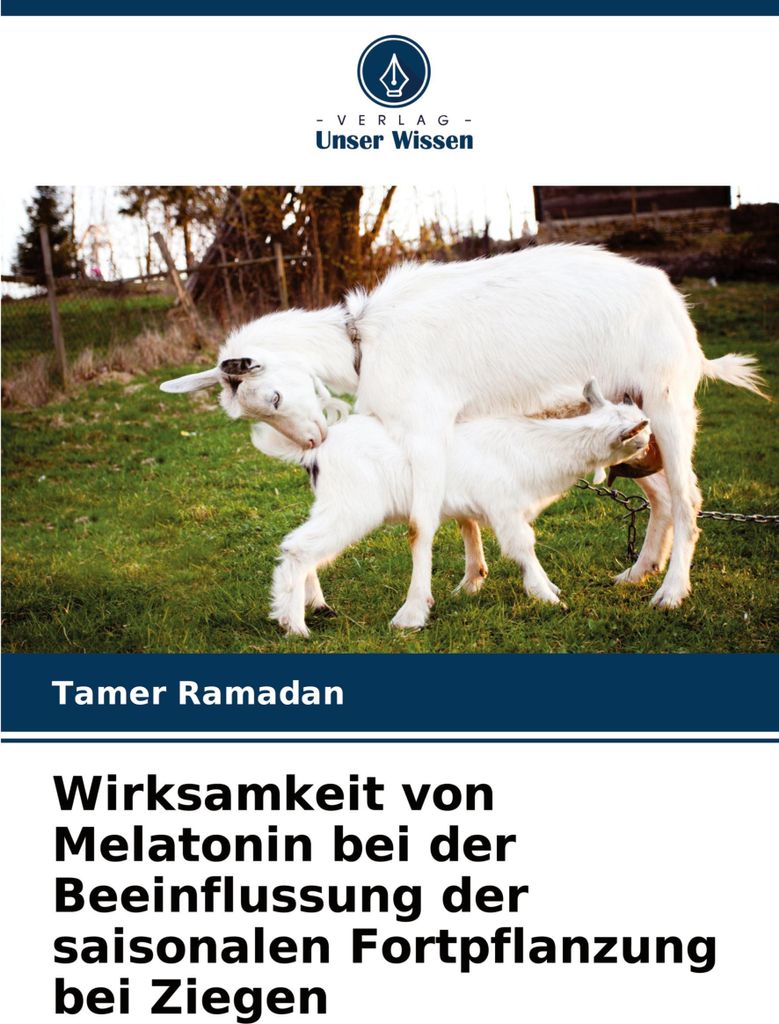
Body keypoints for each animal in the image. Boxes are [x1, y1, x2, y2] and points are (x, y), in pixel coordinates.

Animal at [256, 379, 651, 637]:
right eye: (642, 437)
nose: (651, 451)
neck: (533, 448)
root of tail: (316, 448)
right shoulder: (505, 507)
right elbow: (522, 547)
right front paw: (548, 596)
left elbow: (470, 533)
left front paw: (475, 582)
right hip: (352, 505)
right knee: (299, 548)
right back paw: (294, 626)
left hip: (332, 503)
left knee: (306, 547)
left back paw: (317, 605)